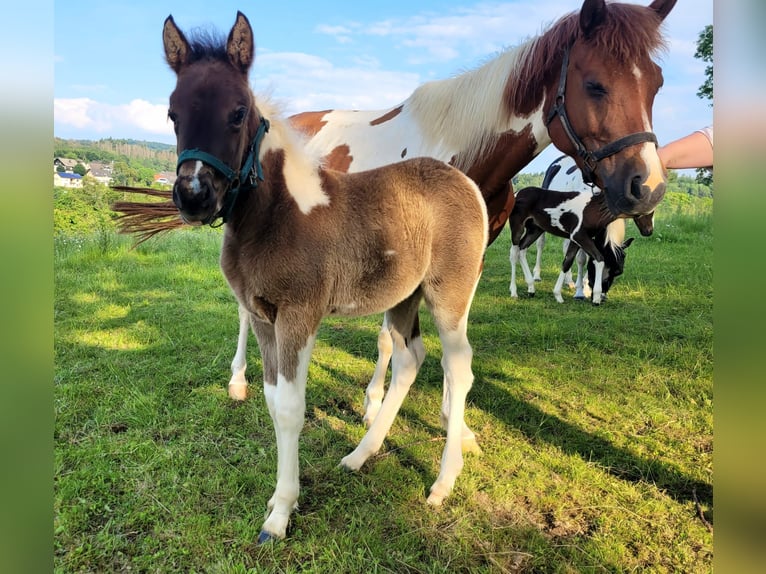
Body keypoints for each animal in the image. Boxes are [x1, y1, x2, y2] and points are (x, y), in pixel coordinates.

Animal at [161, 12, 488, 544]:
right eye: (172, 113)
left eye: (238, 111)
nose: (193, 195)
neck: (278, 212)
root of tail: (467, 183)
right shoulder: (262, 317)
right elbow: (272, 400)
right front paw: (280, 498)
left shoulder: (299, 315)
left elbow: (291, 408)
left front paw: (279, 515)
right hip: (404, 296)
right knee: (409, 359)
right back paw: (360, 454)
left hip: (449, 295)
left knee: (458, 367)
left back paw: (442, 483)